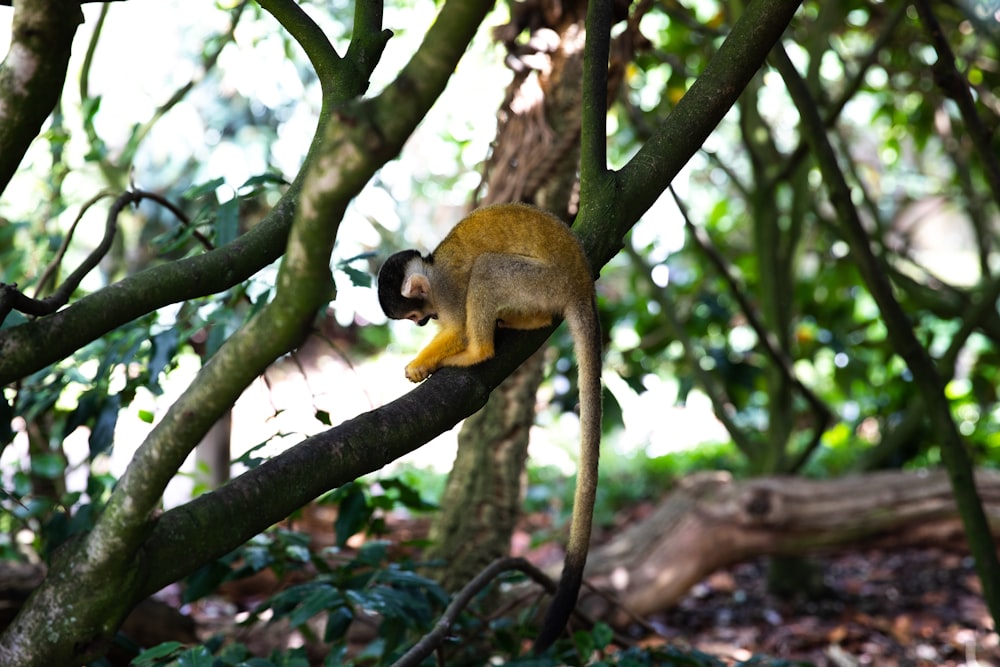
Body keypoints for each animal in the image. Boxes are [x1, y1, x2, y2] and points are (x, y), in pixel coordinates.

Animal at [376, 202, 600, 652]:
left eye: (415, 315)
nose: (423, 323)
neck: (432, 267)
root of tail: (581, 285)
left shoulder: (447, 289)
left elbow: (458, 326)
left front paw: (421, 364)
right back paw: (529, 323)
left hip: (539, 283)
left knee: (488, 270)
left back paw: (476, 352)